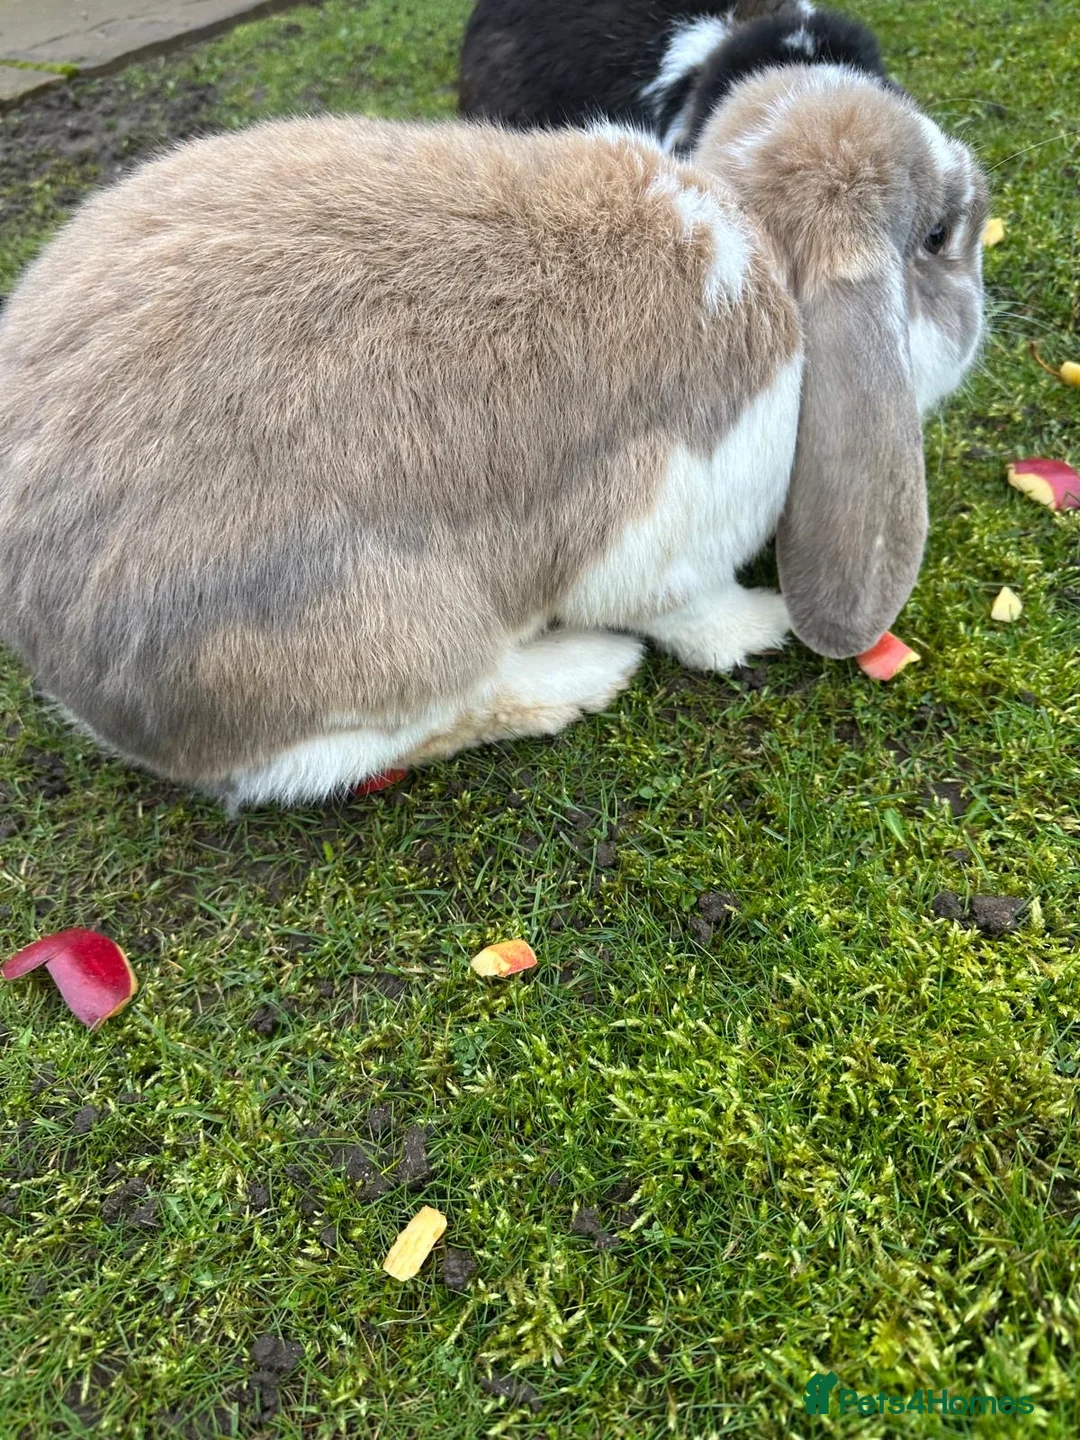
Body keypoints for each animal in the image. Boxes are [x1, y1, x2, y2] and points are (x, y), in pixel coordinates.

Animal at [0, 64, 988, 810]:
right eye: (939, 234)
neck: (763, 248)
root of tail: (70, 674)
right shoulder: (665, 536)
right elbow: (692, 617)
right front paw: (765, 625)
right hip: (387, 640)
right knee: (391, 737)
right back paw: (591, 672)